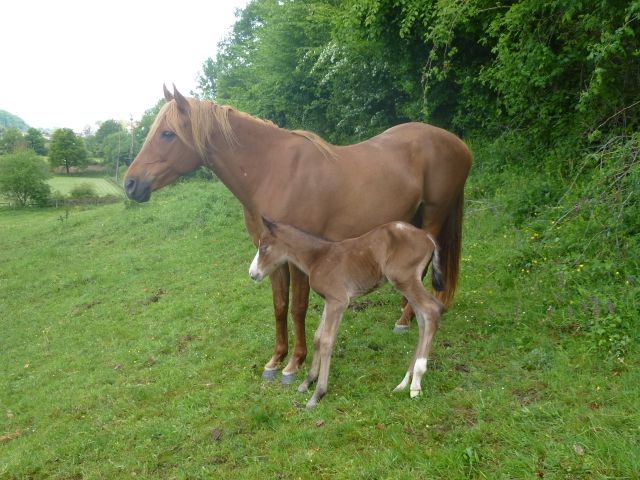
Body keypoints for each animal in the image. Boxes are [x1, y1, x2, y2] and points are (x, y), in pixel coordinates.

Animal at [124, 85, 471, 384]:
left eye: (167, 134)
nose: (130, 184)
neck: (271, 171)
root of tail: (460, 145)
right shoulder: (270, 255)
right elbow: (279, 307)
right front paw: (275, 361)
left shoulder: (299, 259)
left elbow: (297, 308)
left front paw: (294, 364)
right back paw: (406, 316)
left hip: (433, 218)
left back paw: (404, 320)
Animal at [249, 217, 444, 408]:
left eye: (264, 247)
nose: (252, 274)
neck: (317, 258)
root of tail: (428, 237)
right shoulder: (330, 301)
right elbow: (318, 337)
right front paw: (308, 381)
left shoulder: (339, 301)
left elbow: (327, 341)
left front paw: (318, 394)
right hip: (408, 283)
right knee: (422, 321)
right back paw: (404, 383)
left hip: (404, 279)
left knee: (433, 310)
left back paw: (416, 382)